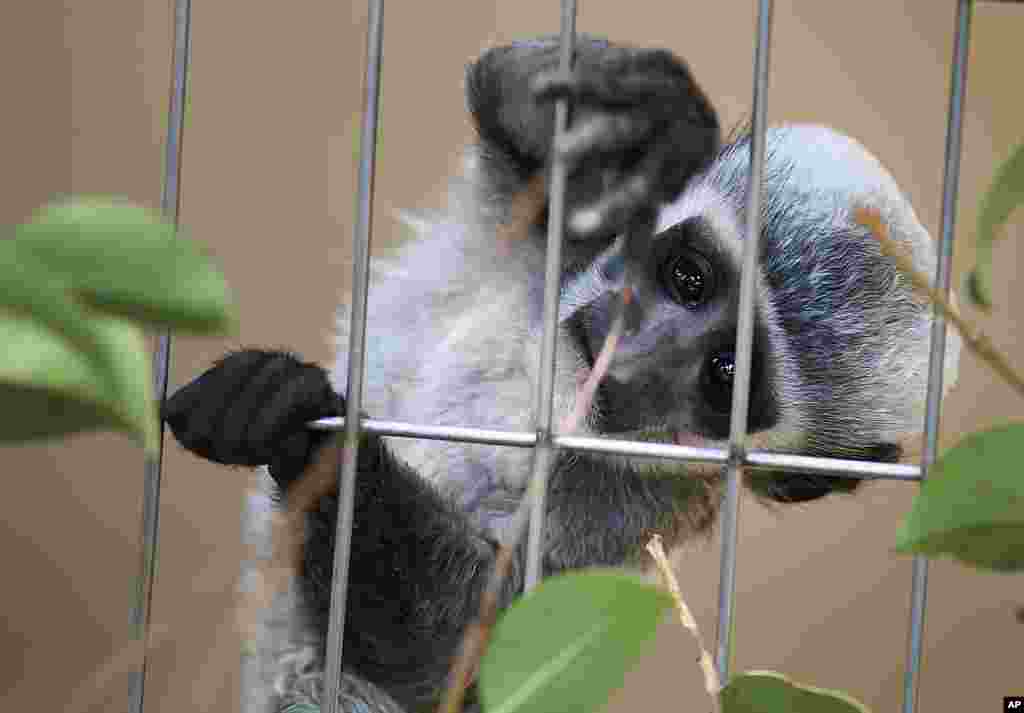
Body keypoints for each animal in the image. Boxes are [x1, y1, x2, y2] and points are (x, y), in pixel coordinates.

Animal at [161, 36, 958, 713]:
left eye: (723, 376)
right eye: (690, 276)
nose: (630, 349)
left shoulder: (627, 507)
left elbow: (463, 646)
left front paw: (299, 428)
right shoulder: (562, 234)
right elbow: (505, 90)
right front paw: (648, 123)